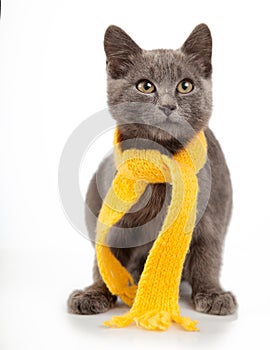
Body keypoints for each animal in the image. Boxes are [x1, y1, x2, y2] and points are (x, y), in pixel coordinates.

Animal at [68, 23, 237, 316]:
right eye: (145, 86)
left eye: (185, 86)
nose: (168, 105)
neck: (161, 156)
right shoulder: (115, 220)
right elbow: (106, 262)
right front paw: (95, 293)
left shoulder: (211, 214)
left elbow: (208, 255)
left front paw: (212, 294)